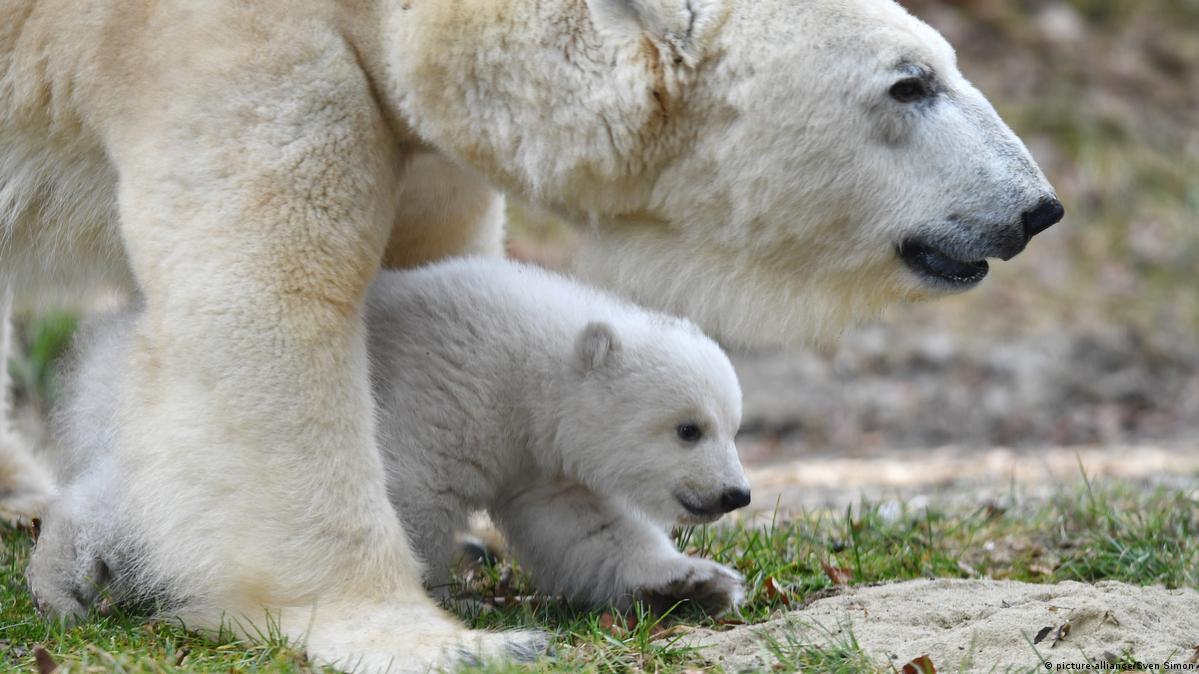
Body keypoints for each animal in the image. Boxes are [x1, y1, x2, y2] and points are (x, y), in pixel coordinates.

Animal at [28, 258, 749, 622]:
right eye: (688, 428)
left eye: (733, 425)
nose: (736, 494)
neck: (526, 365)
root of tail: (106, 344)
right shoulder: (443, 391)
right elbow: (409, 495)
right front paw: (429, 595)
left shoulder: (543, 463)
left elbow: (588, 533)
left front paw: (692, 582)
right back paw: (65, 587)